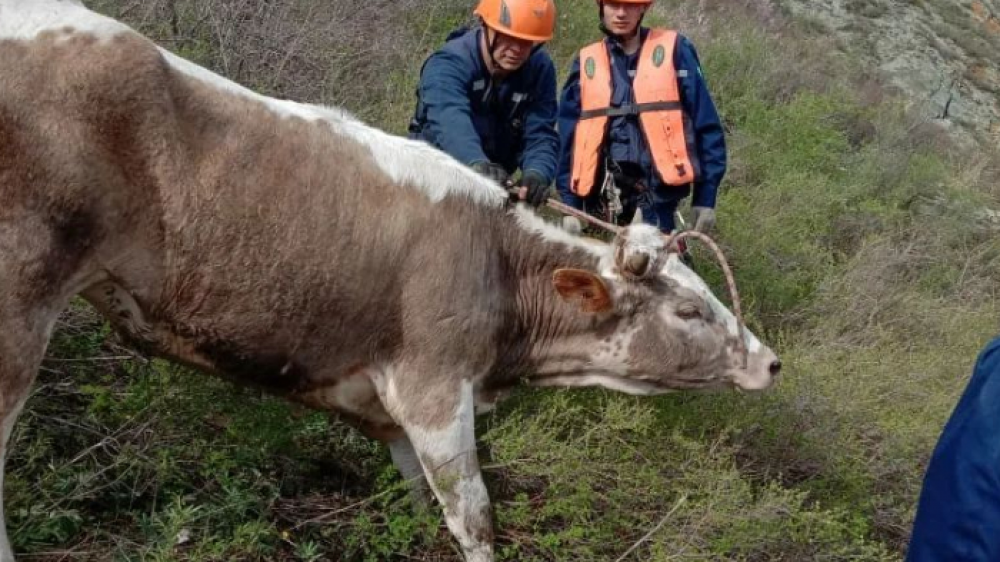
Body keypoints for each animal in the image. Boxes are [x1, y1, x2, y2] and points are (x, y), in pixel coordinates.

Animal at [0, 2, 780, 556]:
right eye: (688, 311)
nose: (769, 361)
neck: (500, 263)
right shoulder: (434, 384)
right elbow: (474, 517)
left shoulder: (383, 407)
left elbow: (419, 501)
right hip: (20, 302)